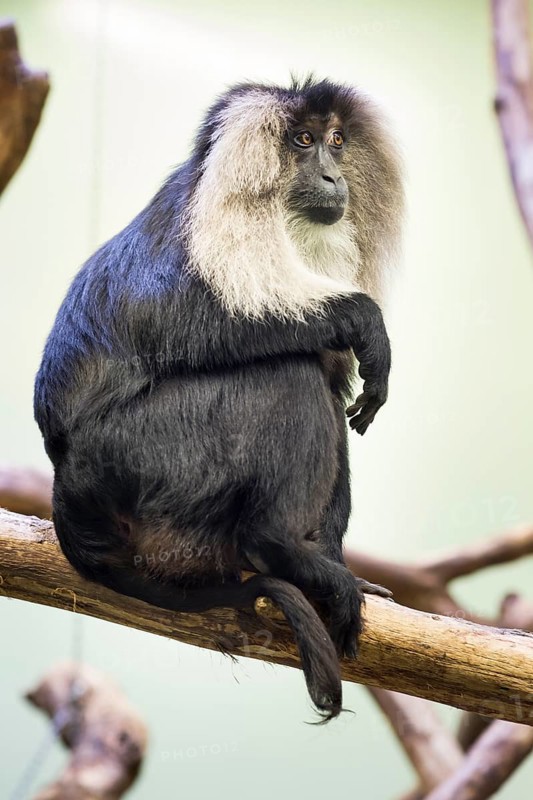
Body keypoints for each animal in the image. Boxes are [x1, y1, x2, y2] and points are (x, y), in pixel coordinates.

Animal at [34, 77, 403, 721]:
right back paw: (278, 549)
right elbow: (204, 324)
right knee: (287, 373)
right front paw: (363, 319)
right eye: (302, 141)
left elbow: (337, 392)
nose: (333, 176)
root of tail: (65, 492)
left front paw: (342, 570)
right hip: (148, 455)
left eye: (336, 141)